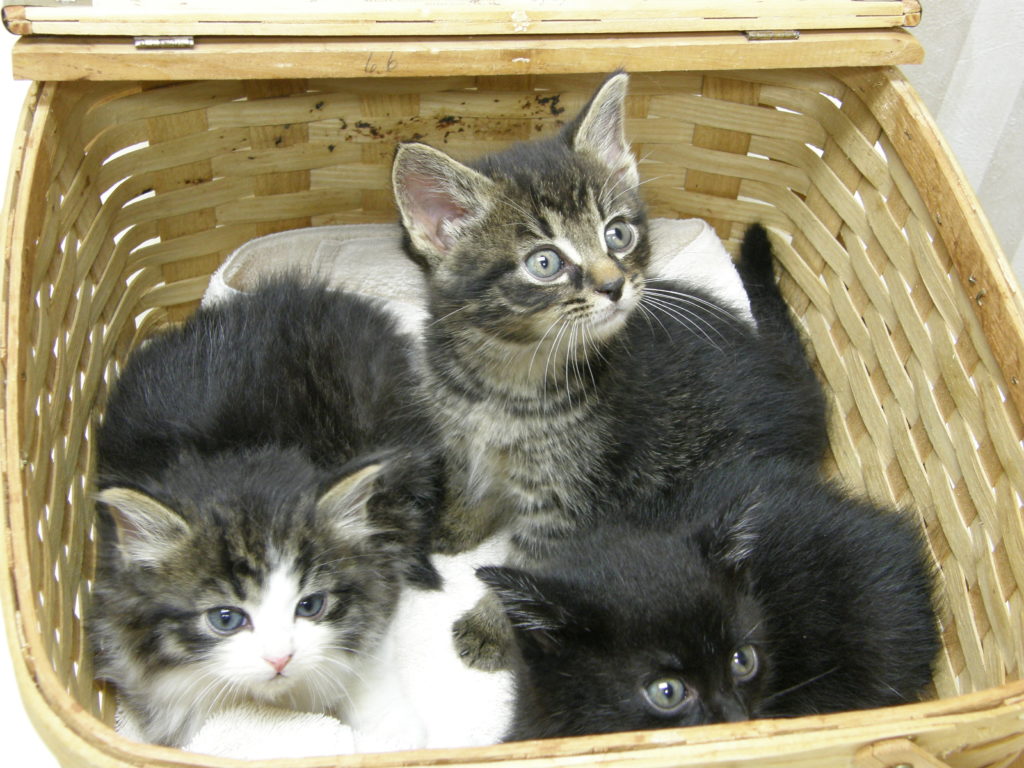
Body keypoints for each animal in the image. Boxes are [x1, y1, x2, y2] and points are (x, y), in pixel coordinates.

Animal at [90, 277, 443, 746]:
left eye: (310, 606)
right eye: (225, 619)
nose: (280, 659)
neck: (238, 454)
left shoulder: (379, 562)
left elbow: (368, 653)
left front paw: (390, 735)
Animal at [392, 72, 827, 569]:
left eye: (617, 234)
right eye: (545, 262)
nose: (614, 284)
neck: (504, 378)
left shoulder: (567, 496)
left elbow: (533, 566)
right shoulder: (462, 443)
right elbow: (469, 492)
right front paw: (450, 531)